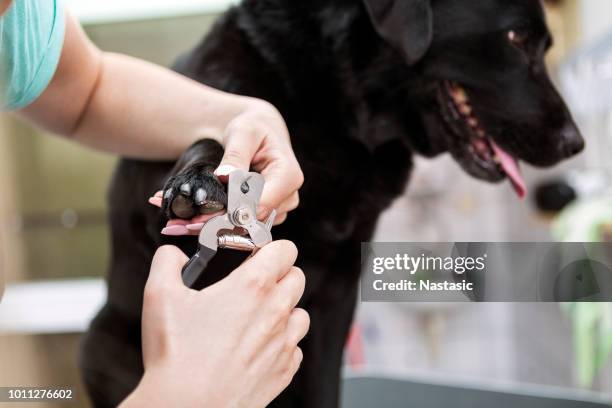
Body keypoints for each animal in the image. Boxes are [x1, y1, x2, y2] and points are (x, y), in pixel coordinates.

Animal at [80, 1, 584, 406]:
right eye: (516, 37)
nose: (574, 143)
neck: (334, 106)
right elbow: (214, 136)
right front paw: (198, 181)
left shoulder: (337, 294)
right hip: (99, 343)